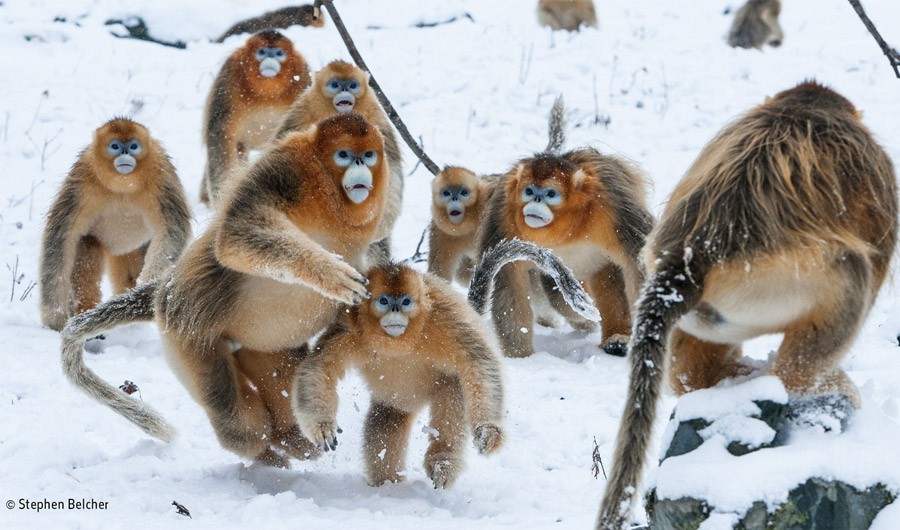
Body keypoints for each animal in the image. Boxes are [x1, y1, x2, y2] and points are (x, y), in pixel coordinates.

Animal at [272, 59, 402, 262]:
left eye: (352, 85)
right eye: (335, 85)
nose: (344, 90)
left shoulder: (377, 121)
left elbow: (392, 172)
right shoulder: (299, 116)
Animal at [296, 239, 600, 486]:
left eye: (405, 302)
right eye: (383, 301)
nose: (395, 311)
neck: (401, 341)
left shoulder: (445, 319)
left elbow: (481, 363)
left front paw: (489, 431)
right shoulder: (349, 327)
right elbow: (318, 368)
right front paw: (322, 427)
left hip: (449, 382)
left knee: (453, 401)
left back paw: (443, 461)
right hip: (397, 400)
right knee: (385, 422)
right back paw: (387, 484)